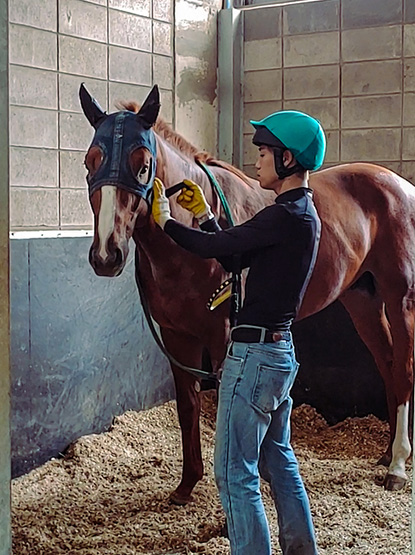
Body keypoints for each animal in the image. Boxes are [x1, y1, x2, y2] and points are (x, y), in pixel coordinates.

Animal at [80, 83, 412, 504]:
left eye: (142, 164)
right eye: (90, 163)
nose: (107, 255)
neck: (190, 243)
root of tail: (400, 185)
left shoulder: (223, 335)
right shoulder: (177, 336)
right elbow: (188, 406)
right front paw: (186, 485)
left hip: (400, 299)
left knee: (403, 370)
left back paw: (398, 466)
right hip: (362, 301)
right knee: (387, 364)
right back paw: (386, 455)